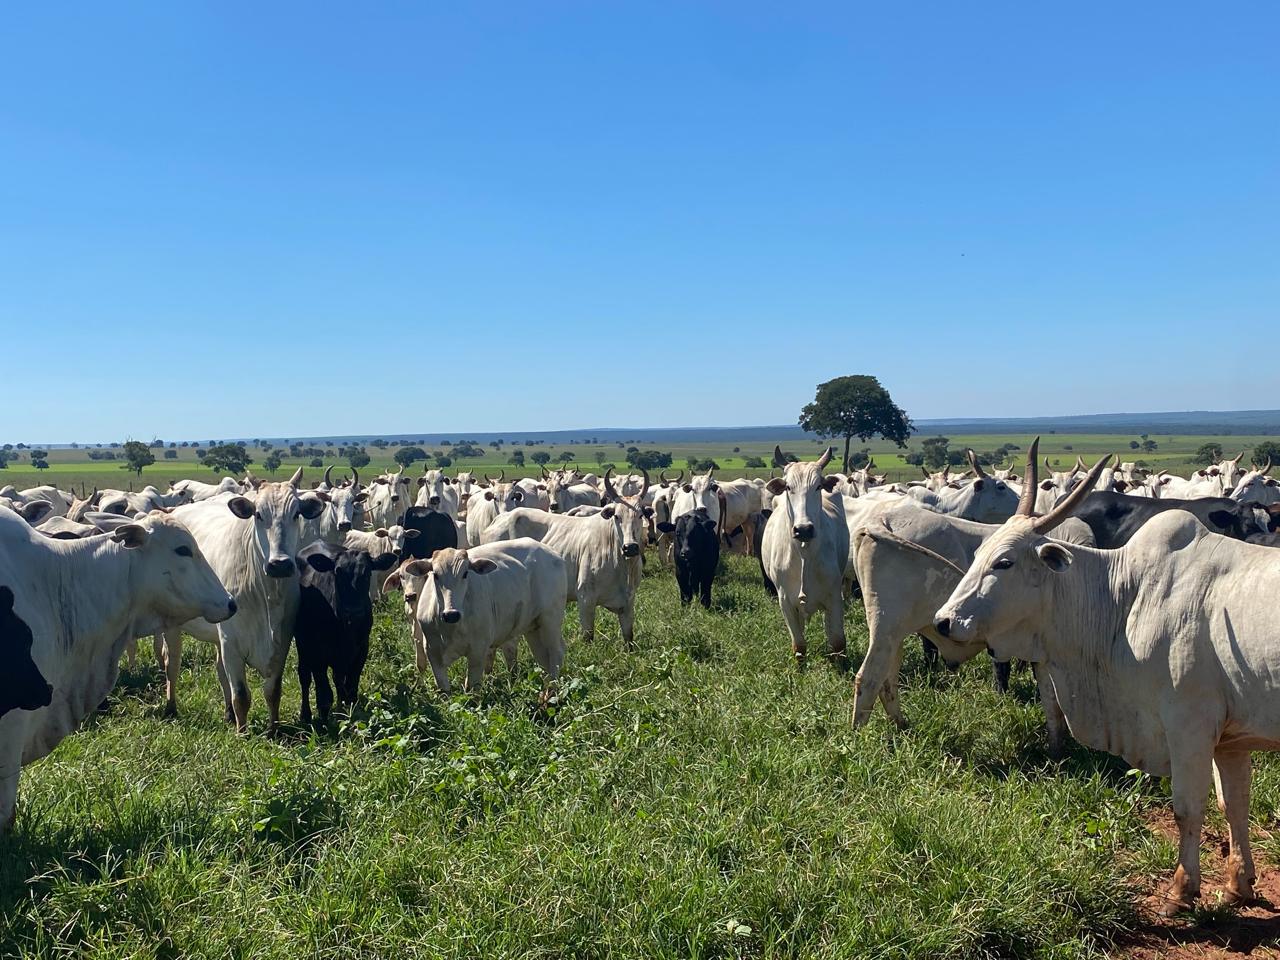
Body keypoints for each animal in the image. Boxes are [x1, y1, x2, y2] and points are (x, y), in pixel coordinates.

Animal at [156, 469, 326, 731]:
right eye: (258, 514)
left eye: (296, 513)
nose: (279, 564)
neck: (268, 594)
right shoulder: (232, 644)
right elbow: (242, 695)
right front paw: (242, 732)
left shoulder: (282, 642)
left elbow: (272, 691)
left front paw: (272, 730)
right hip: (174, 625)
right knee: (171, 663)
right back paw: (171, 706)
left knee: (218, 669)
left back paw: (227, 714)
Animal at [293, 541, 398, 725]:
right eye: (338, 572)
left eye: (367, 573)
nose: (353, 612)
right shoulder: (317, 652)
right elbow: (324, 693)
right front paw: (325, 722)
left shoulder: (361, 648)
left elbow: (351, 685)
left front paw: (349, 710)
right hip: (302, 644)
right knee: (304, 676)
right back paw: (305, 715)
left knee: (338, 678)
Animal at [397, 540, 567, 700]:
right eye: (436, 575)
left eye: (465, 574)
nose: (451, 614)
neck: (451, 629)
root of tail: (551, 552)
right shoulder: (432, 652)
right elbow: (444, 690)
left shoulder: (478, 650)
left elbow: (472, 688)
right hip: (533, 628)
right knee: (544, 658)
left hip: (550, 620)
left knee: (556, 653)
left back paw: (550, 694)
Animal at [761, 446, 849, 666]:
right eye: (788, 487)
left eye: (818, 486)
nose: (803, 529)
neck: (804, 552)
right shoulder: (784, 600)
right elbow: (799, 643)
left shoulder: (835, 596)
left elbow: (837, 640)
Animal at [935, 447, 1280, 916]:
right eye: (978, 554)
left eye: (1004, 562)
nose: (944, 621)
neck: (1126, 596)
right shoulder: (1231, 739)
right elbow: (1235, 805)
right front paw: (1237, 885)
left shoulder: (1188, 725)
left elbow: (1188, 809)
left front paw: (1182, 890)